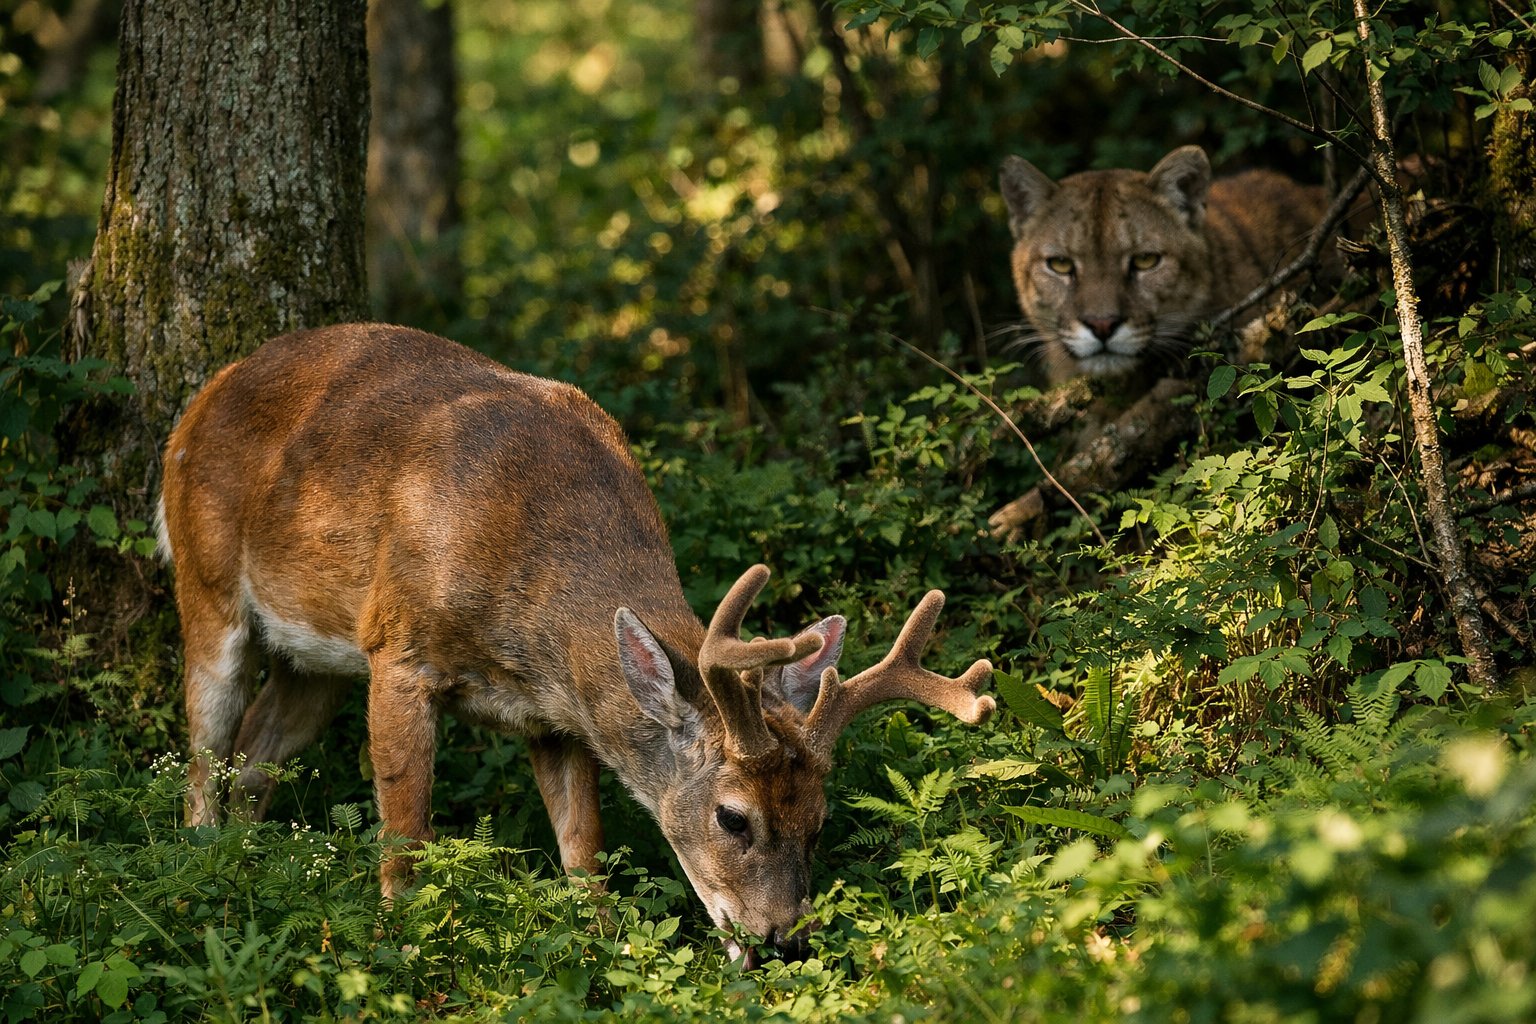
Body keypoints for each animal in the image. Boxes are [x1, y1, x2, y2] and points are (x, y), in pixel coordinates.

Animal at [156, 323, 995, 966]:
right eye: (733, 817)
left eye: (818, 821)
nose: (782, 941)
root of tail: (203, 396)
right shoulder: (398, 650)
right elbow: (405, 825)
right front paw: (404, 941)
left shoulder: (558, 715)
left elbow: (581, 845)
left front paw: (606, 945)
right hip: (207, 580)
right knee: (203, 749)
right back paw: (198, 872)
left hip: (319, 661)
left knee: (256, 751)